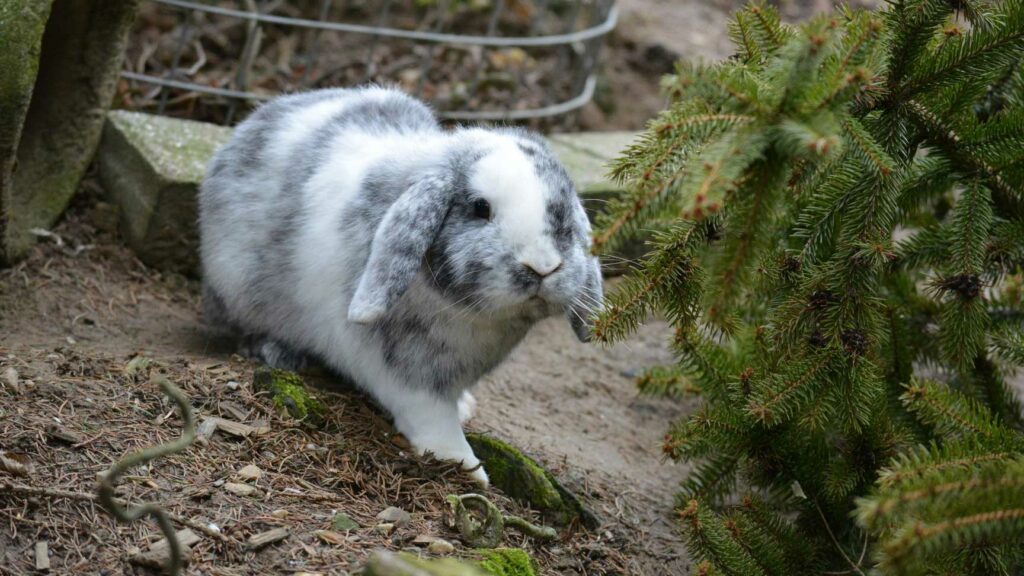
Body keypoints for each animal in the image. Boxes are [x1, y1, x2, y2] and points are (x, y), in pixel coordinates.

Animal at [199, 86, 603, 486]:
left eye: (564, 210)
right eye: (480, 208)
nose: (543, 266)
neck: (472, 315)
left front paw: (463, 412)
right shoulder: (401, 370)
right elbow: (429, 414)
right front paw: (464, 464)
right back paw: (279, 353)